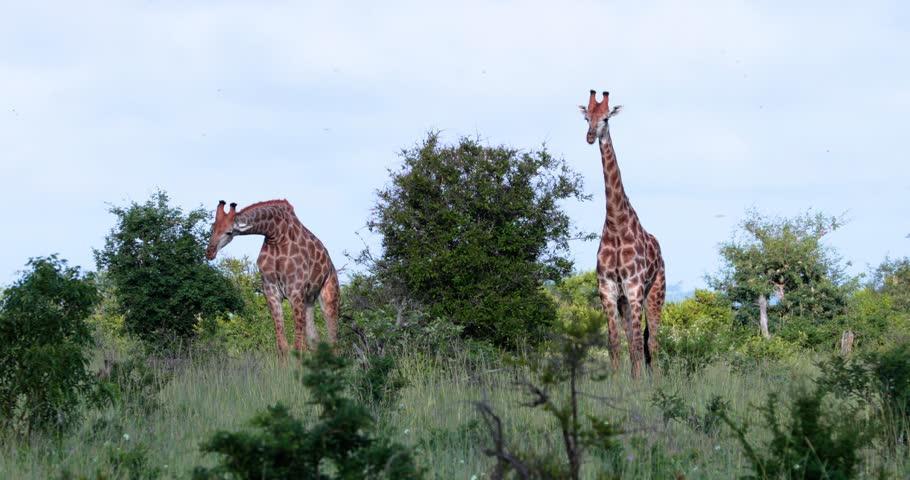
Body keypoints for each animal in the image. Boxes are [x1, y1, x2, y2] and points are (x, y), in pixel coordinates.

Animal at [205, 199, 340, 361]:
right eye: (212, 228)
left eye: (229, 232)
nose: (210, 252)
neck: (275, 235)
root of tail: (331, 265)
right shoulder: (271, 292)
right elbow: (282, 345)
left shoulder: (295, 291)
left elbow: (298, 347)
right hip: (309, 300)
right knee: (316, 342)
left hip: (329, 296)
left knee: (333, 343)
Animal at [579, 90, 666, 379]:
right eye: (586, 117)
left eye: (606, 118)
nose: (590, 136)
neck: (616, 224)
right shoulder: (607, 288)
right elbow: (615, 344)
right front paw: (618, 384)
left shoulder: (635, 286)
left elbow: (639, 343)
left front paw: (638, 385)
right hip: (625, 301)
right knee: (632, 339)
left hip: (655, 293)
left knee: (652, 341)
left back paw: (655, 381)